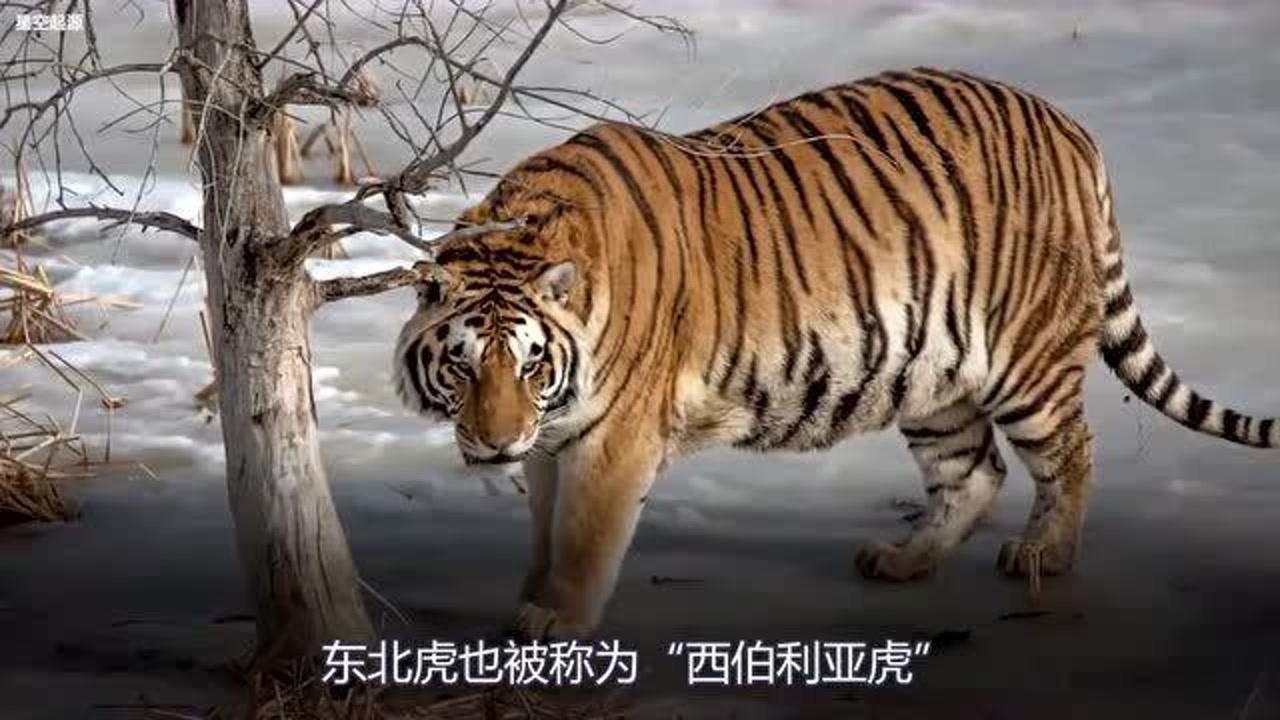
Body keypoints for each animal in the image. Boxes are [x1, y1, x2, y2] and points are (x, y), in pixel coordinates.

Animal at [393, 67, 1279, 640]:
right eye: (465, 366)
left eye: (531, 364)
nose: (495, 443)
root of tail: (1068, 124)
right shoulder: (555, 438)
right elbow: (544, 528)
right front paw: (526, 596)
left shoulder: (613, 437)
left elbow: (583, 535)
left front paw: (557, 618)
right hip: (934, 375)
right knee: (974, 472)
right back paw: (903, 560)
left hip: (1028, 357)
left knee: (1070, 453)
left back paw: (1044, 555)